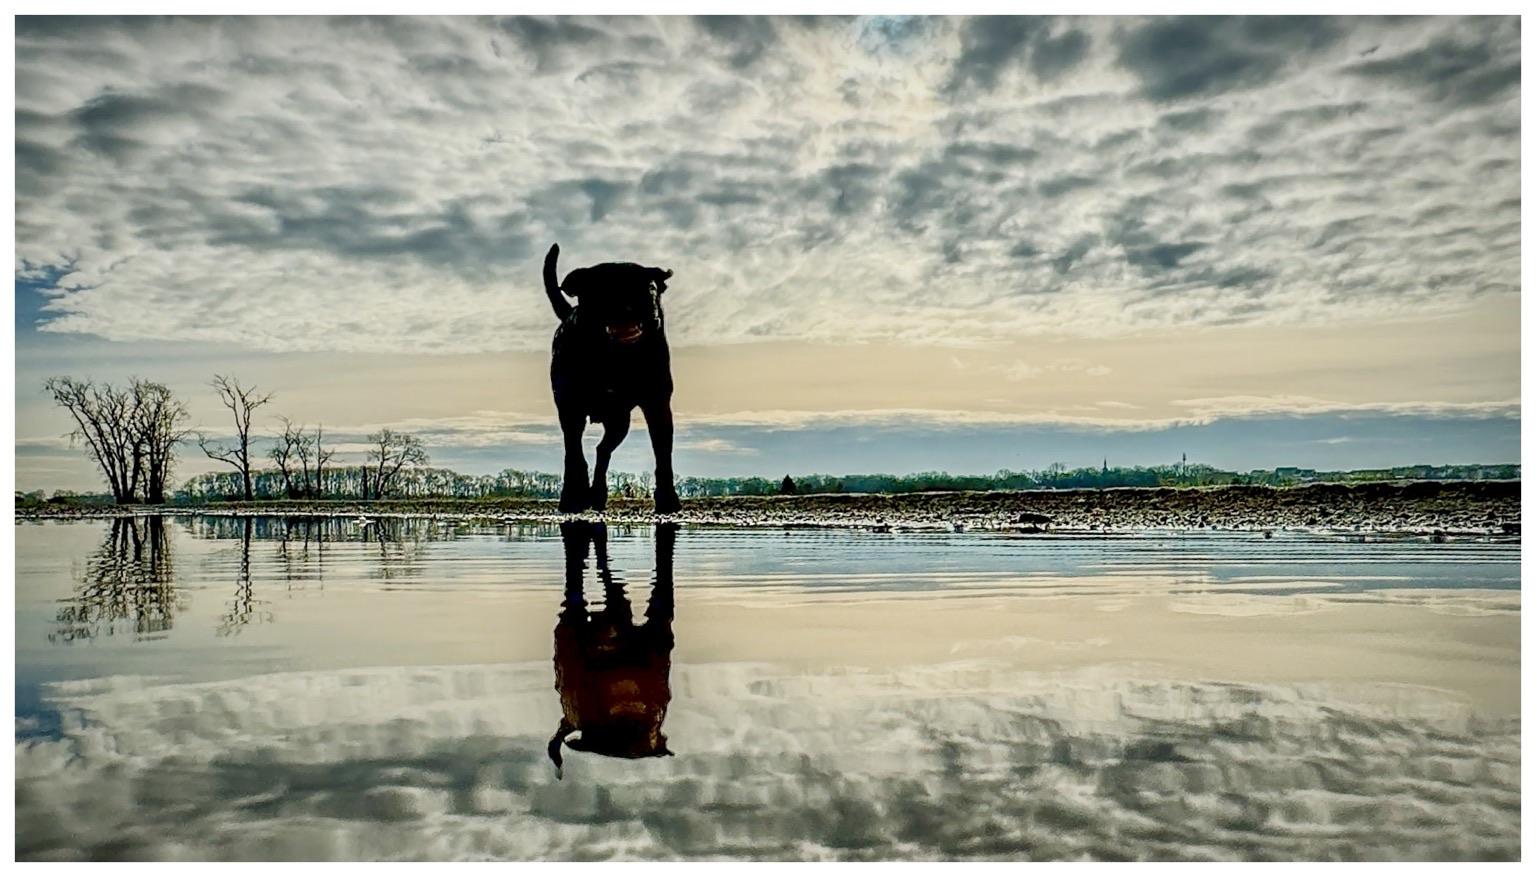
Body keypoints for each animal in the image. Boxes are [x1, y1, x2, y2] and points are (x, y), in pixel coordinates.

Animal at [543, 242, 681, 516]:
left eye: (650, 287)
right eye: (601, 286)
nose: (627, 299)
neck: (616, 358)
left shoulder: (658, 403)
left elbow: (663, 453)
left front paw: (668, 499)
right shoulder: (569, 407)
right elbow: (573, 453)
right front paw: (573, 497)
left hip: (619, 421)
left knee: (602, 450)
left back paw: (597, 493)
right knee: (585, 451)